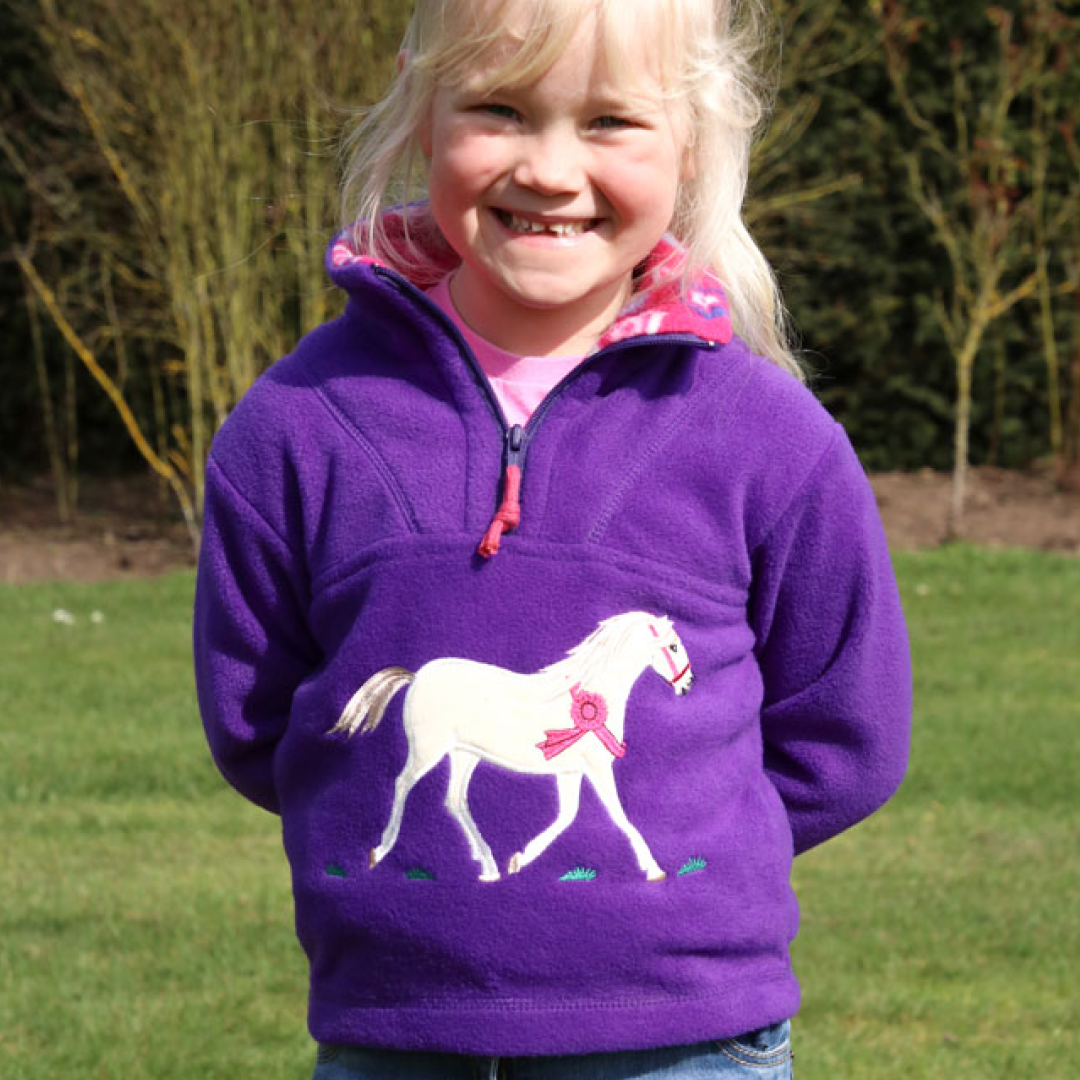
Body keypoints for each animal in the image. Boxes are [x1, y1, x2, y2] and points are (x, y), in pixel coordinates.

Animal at [329, 611, 693, 882]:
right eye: (674, 647)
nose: (688, 684)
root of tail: (417, 675)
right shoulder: (597, 768)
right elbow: (619, 817)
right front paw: (654, 870)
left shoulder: (570, 771)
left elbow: (567, 815)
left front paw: (520, 859)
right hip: (429, 750)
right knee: (403, 783)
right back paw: (381, 850)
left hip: (465, 754)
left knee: (454, 800)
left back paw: (489, 866)